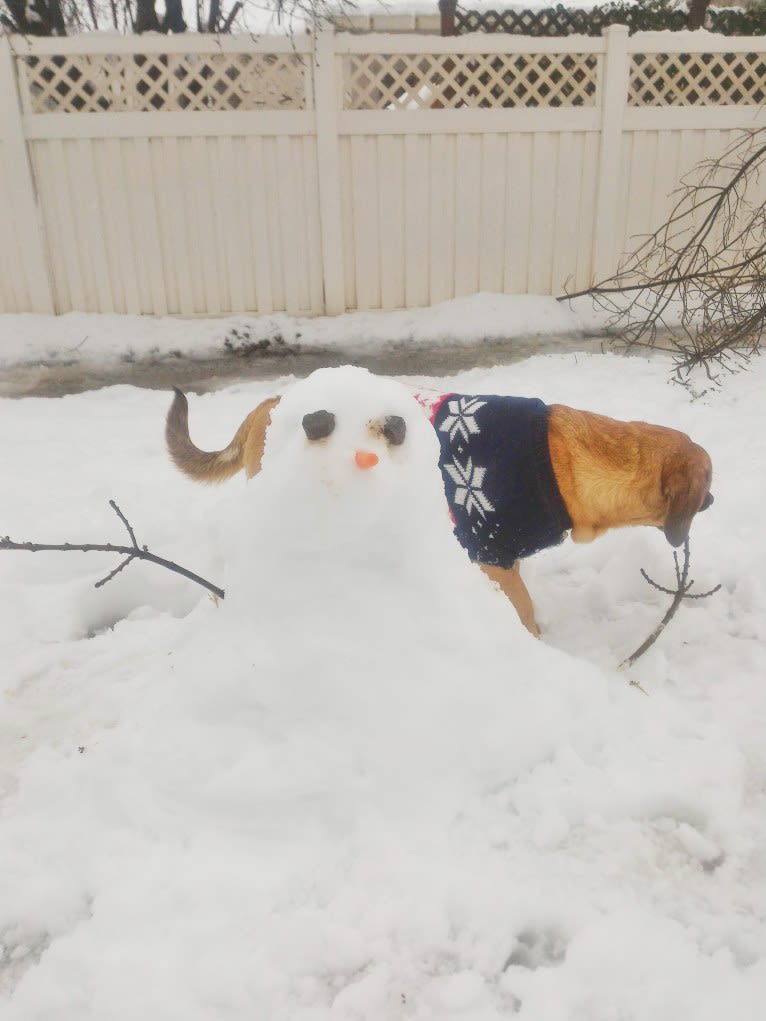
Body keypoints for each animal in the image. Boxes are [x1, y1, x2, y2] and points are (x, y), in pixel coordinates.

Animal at [166, 385, 714, 633]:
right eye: (708, 480)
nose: (711, 500)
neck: (568, 463)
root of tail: (270, 403)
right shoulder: (493, 554)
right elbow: (524, 613)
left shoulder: (502, 559)